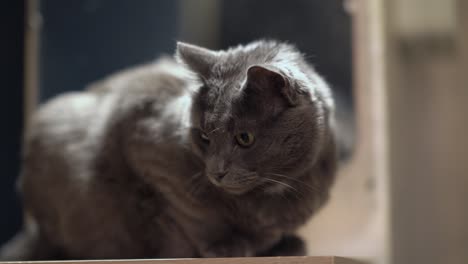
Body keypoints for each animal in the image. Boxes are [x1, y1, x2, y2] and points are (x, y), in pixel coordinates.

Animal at [0, 39, 336, 260]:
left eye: (244, 138)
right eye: (204, 136)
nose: (216, 172)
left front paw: (281, 244)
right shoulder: (145, 143)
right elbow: (192, 213)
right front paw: (224, 246)